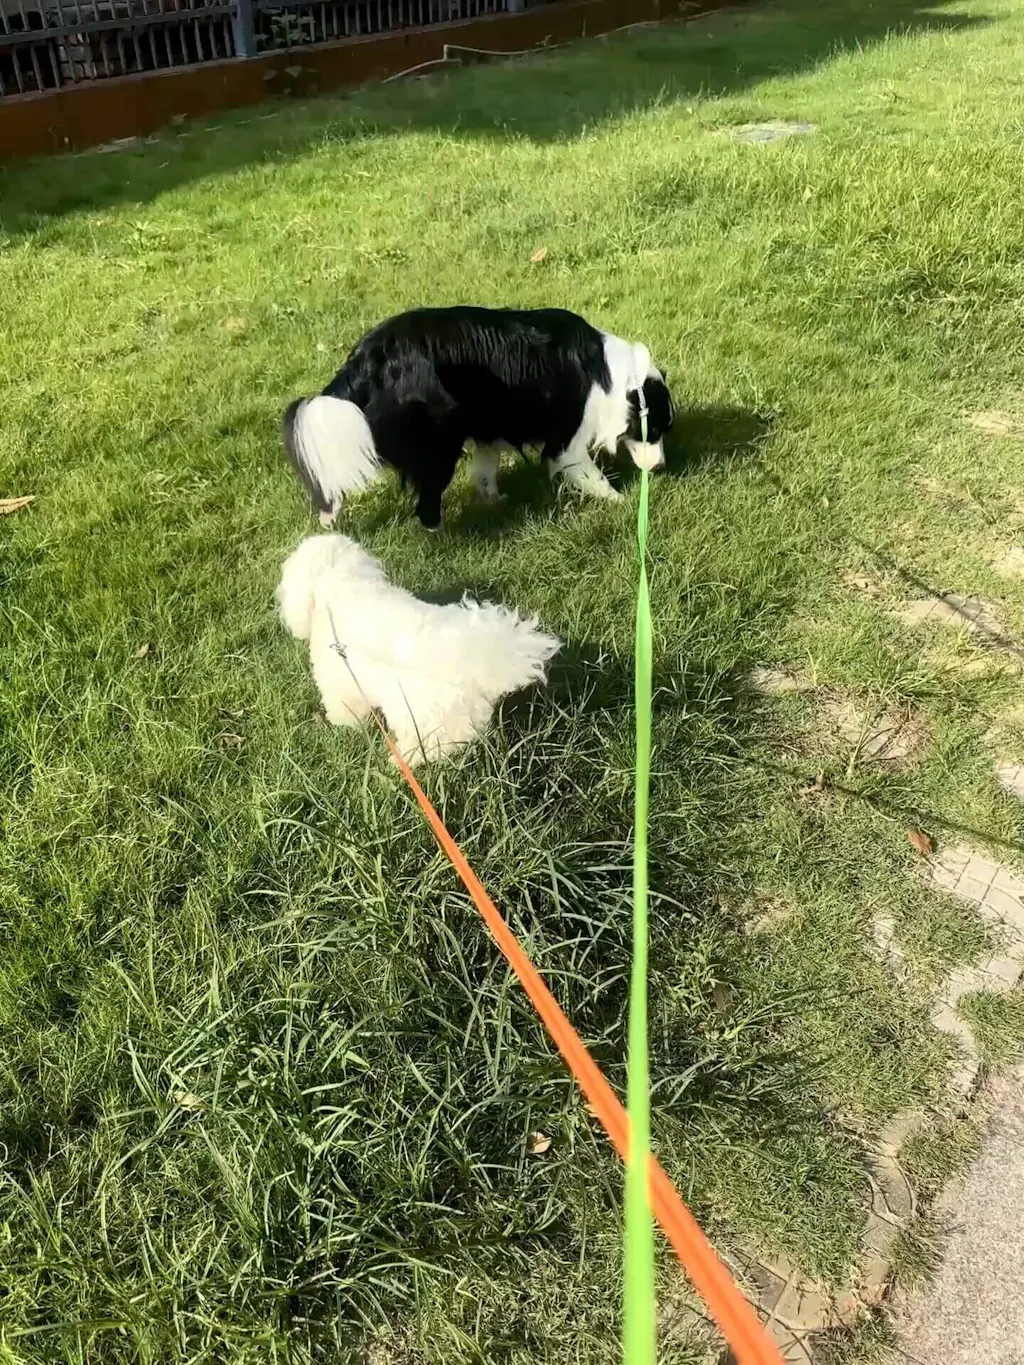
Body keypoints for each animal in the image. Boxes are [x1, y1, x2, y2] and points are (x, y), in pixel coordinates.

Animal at [277, 533, 561, 765]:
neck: (339, 581)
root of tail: (473, 657)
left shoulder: (341, 685)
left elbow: (347, 711)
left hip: (422, 722)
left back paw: (399, 760)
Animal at [282, 306, 674, 529]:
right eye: (653, 429)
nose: (660, 468)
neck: (608, 373)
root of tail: (368, 355)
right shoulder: (567, 442)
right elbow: (591, 476)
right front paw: (623, 503)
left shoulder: (489, 427)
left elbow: (486, 470)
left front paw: (494, 501)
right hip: (439, 440)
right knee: (426, 503)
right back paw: (438, 532)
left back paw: (329, 518)